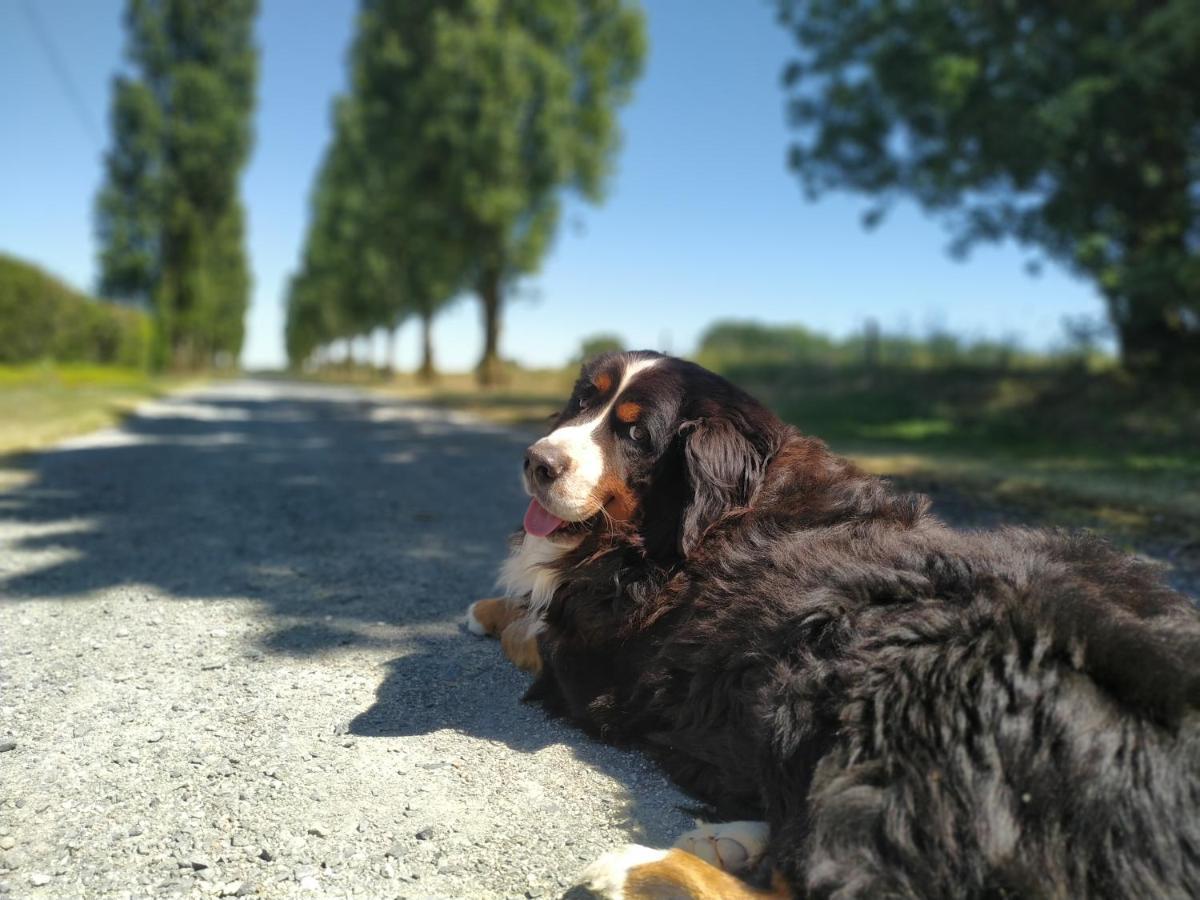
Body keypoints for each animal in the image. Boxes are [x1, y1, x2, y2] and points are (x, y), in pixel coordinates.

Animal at [463, 352, 1195, 900]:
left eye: (634, 434)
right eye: (582, 401)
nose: (537, 461)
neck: (699, 520)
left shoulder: (591, 663)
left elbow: (530, 625)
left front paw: (485, 609)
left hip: (851, 679)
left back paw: (642, 871)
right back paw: (732, 840)